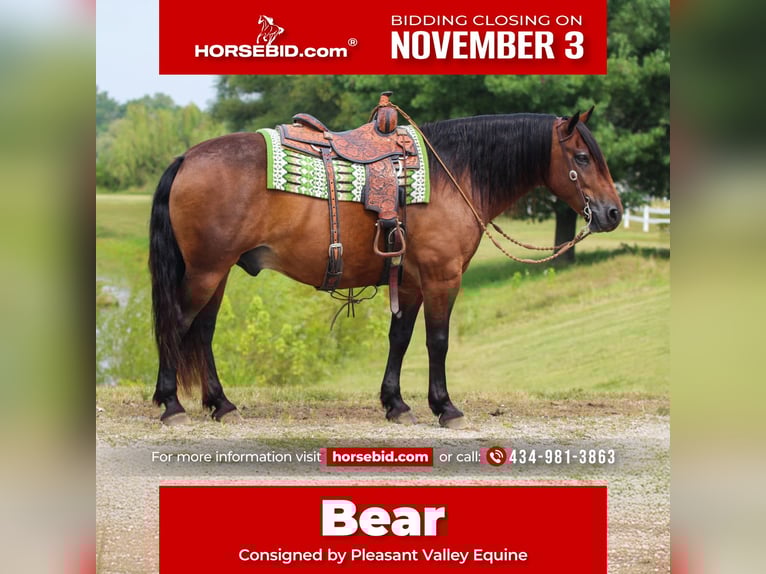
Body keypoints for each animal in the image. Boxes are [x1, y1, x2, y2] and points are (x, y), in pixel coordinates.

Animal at [148, 107, 623, 427]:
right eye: (582, 157)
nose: (614, 213)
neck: (455, 175)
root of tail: (187, 158)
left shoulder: (410, 281)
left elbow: (400, 338)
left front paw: (395, 403)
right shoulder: (442, 277)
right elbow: (437, 341)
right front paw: (444, 406)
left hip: (218, 271)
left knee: (203, 331)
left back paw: (220, 403)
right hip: (206, 270)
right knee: (177, 323)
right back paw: (171, 404)